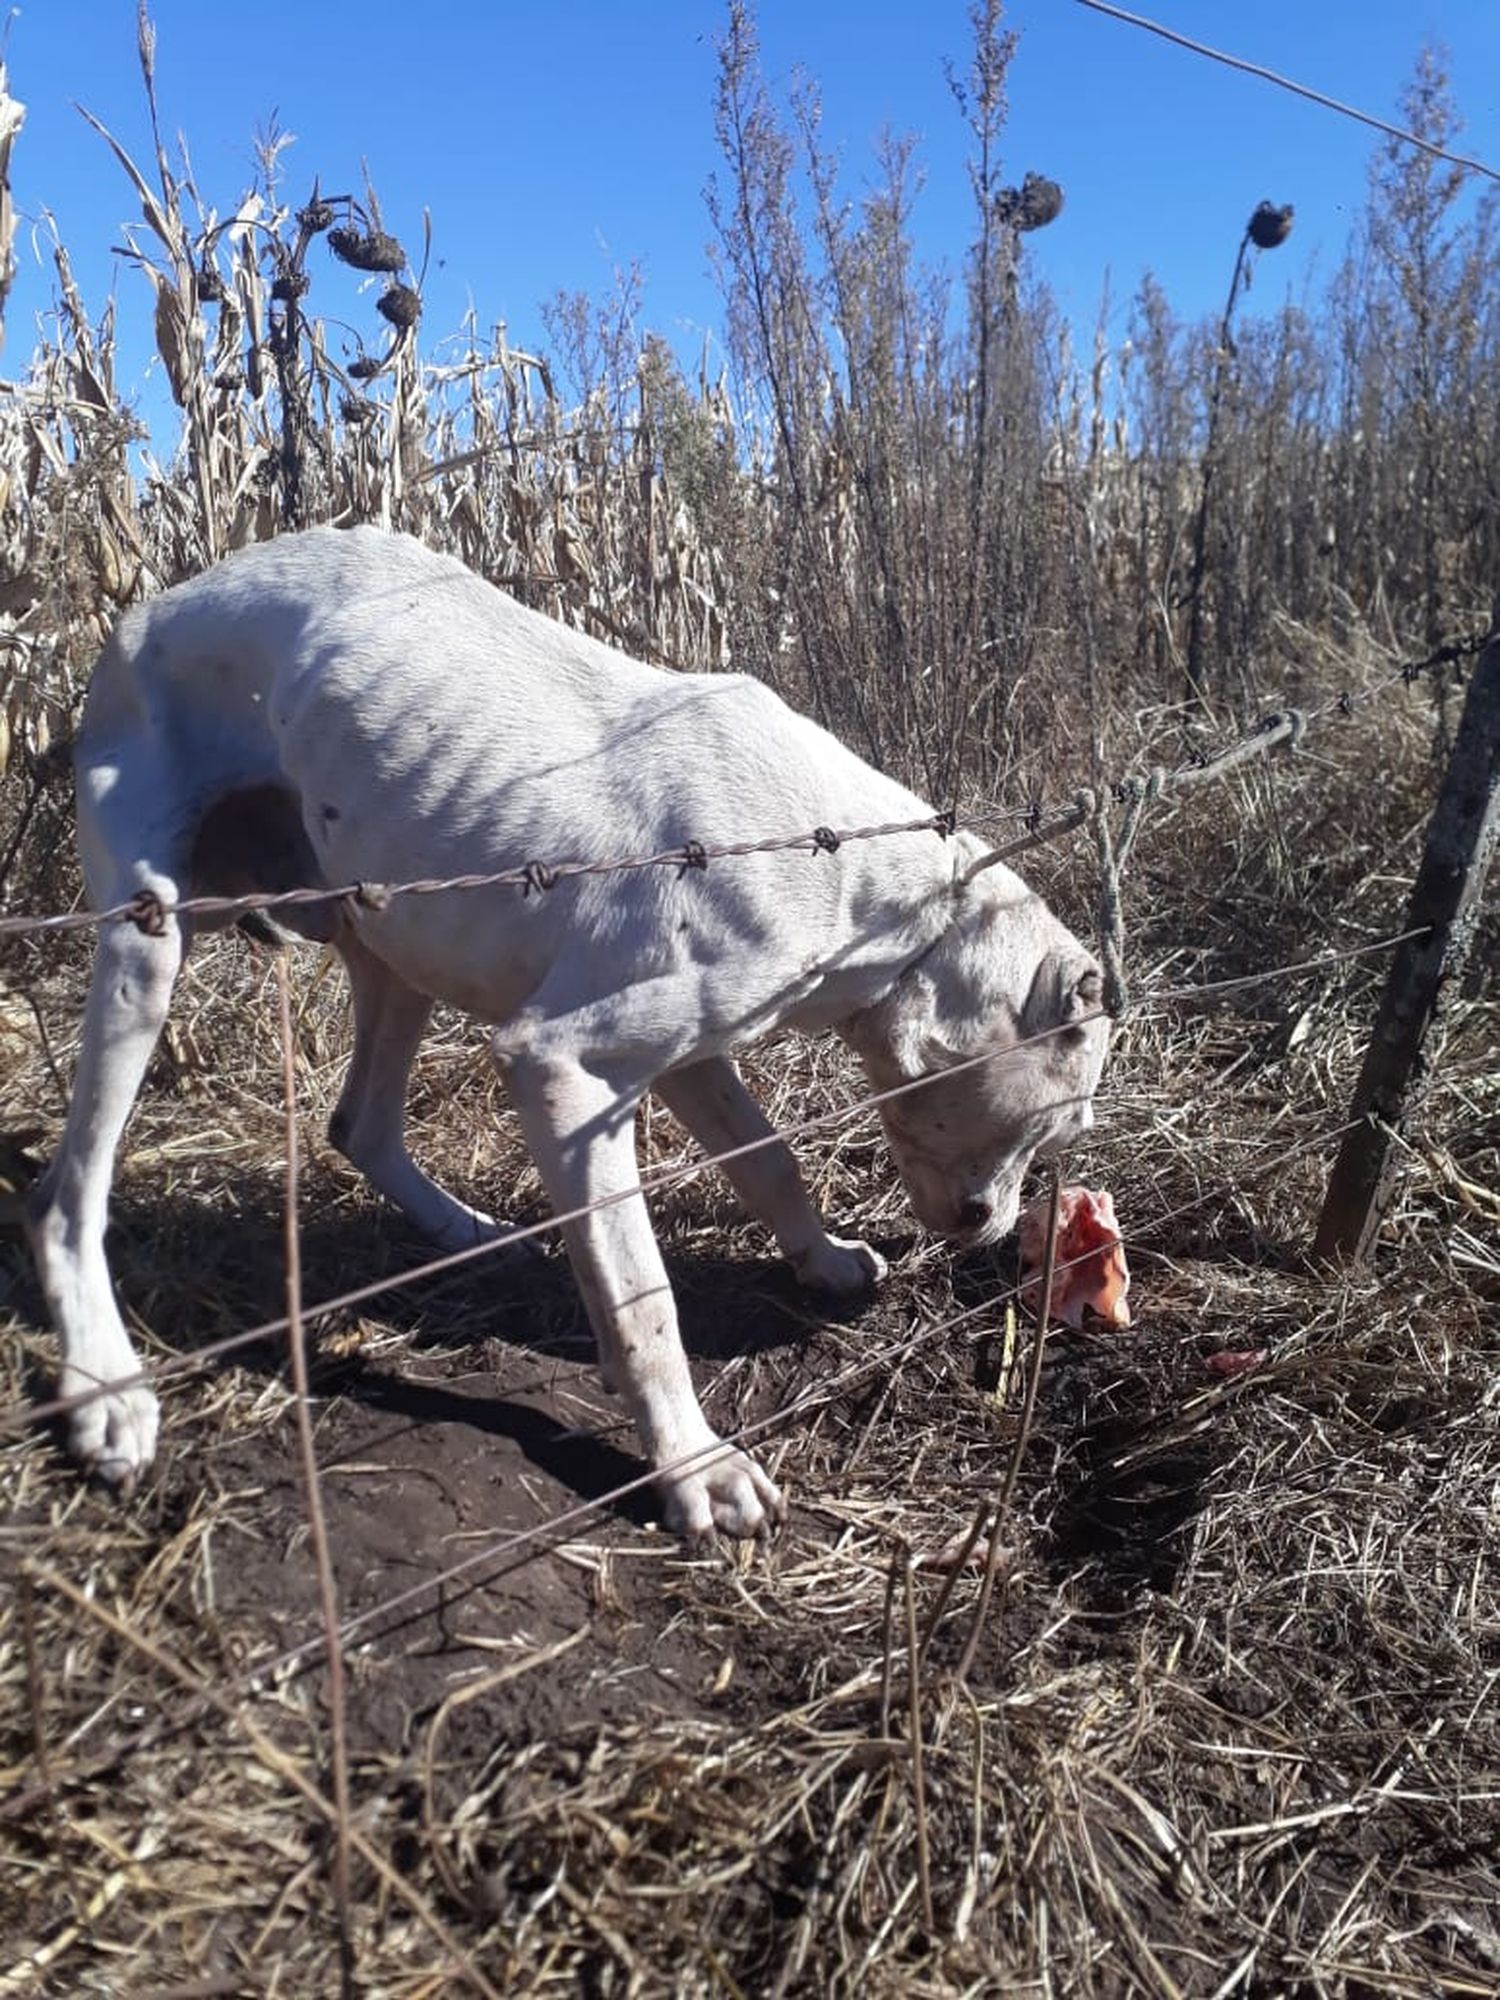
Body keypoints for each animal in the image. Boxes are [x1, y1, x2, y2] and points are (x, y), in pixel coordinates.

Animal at [20, 528, 1104, 1528]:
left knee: (359, 1124)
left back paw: (466, 1231)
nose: (994, 1231)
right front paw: (693, 1463)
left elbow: (769, 1161)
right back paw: (104, 1382)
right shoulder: (564, 1068)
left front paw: (825, 1258)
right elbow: (641, 1298)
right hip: (147, 951)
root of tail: (146, 604)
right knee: (67, 1197)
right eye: (1052, 1127)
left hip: (393, 947)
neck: (874, 890)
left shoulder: (688, 1058)